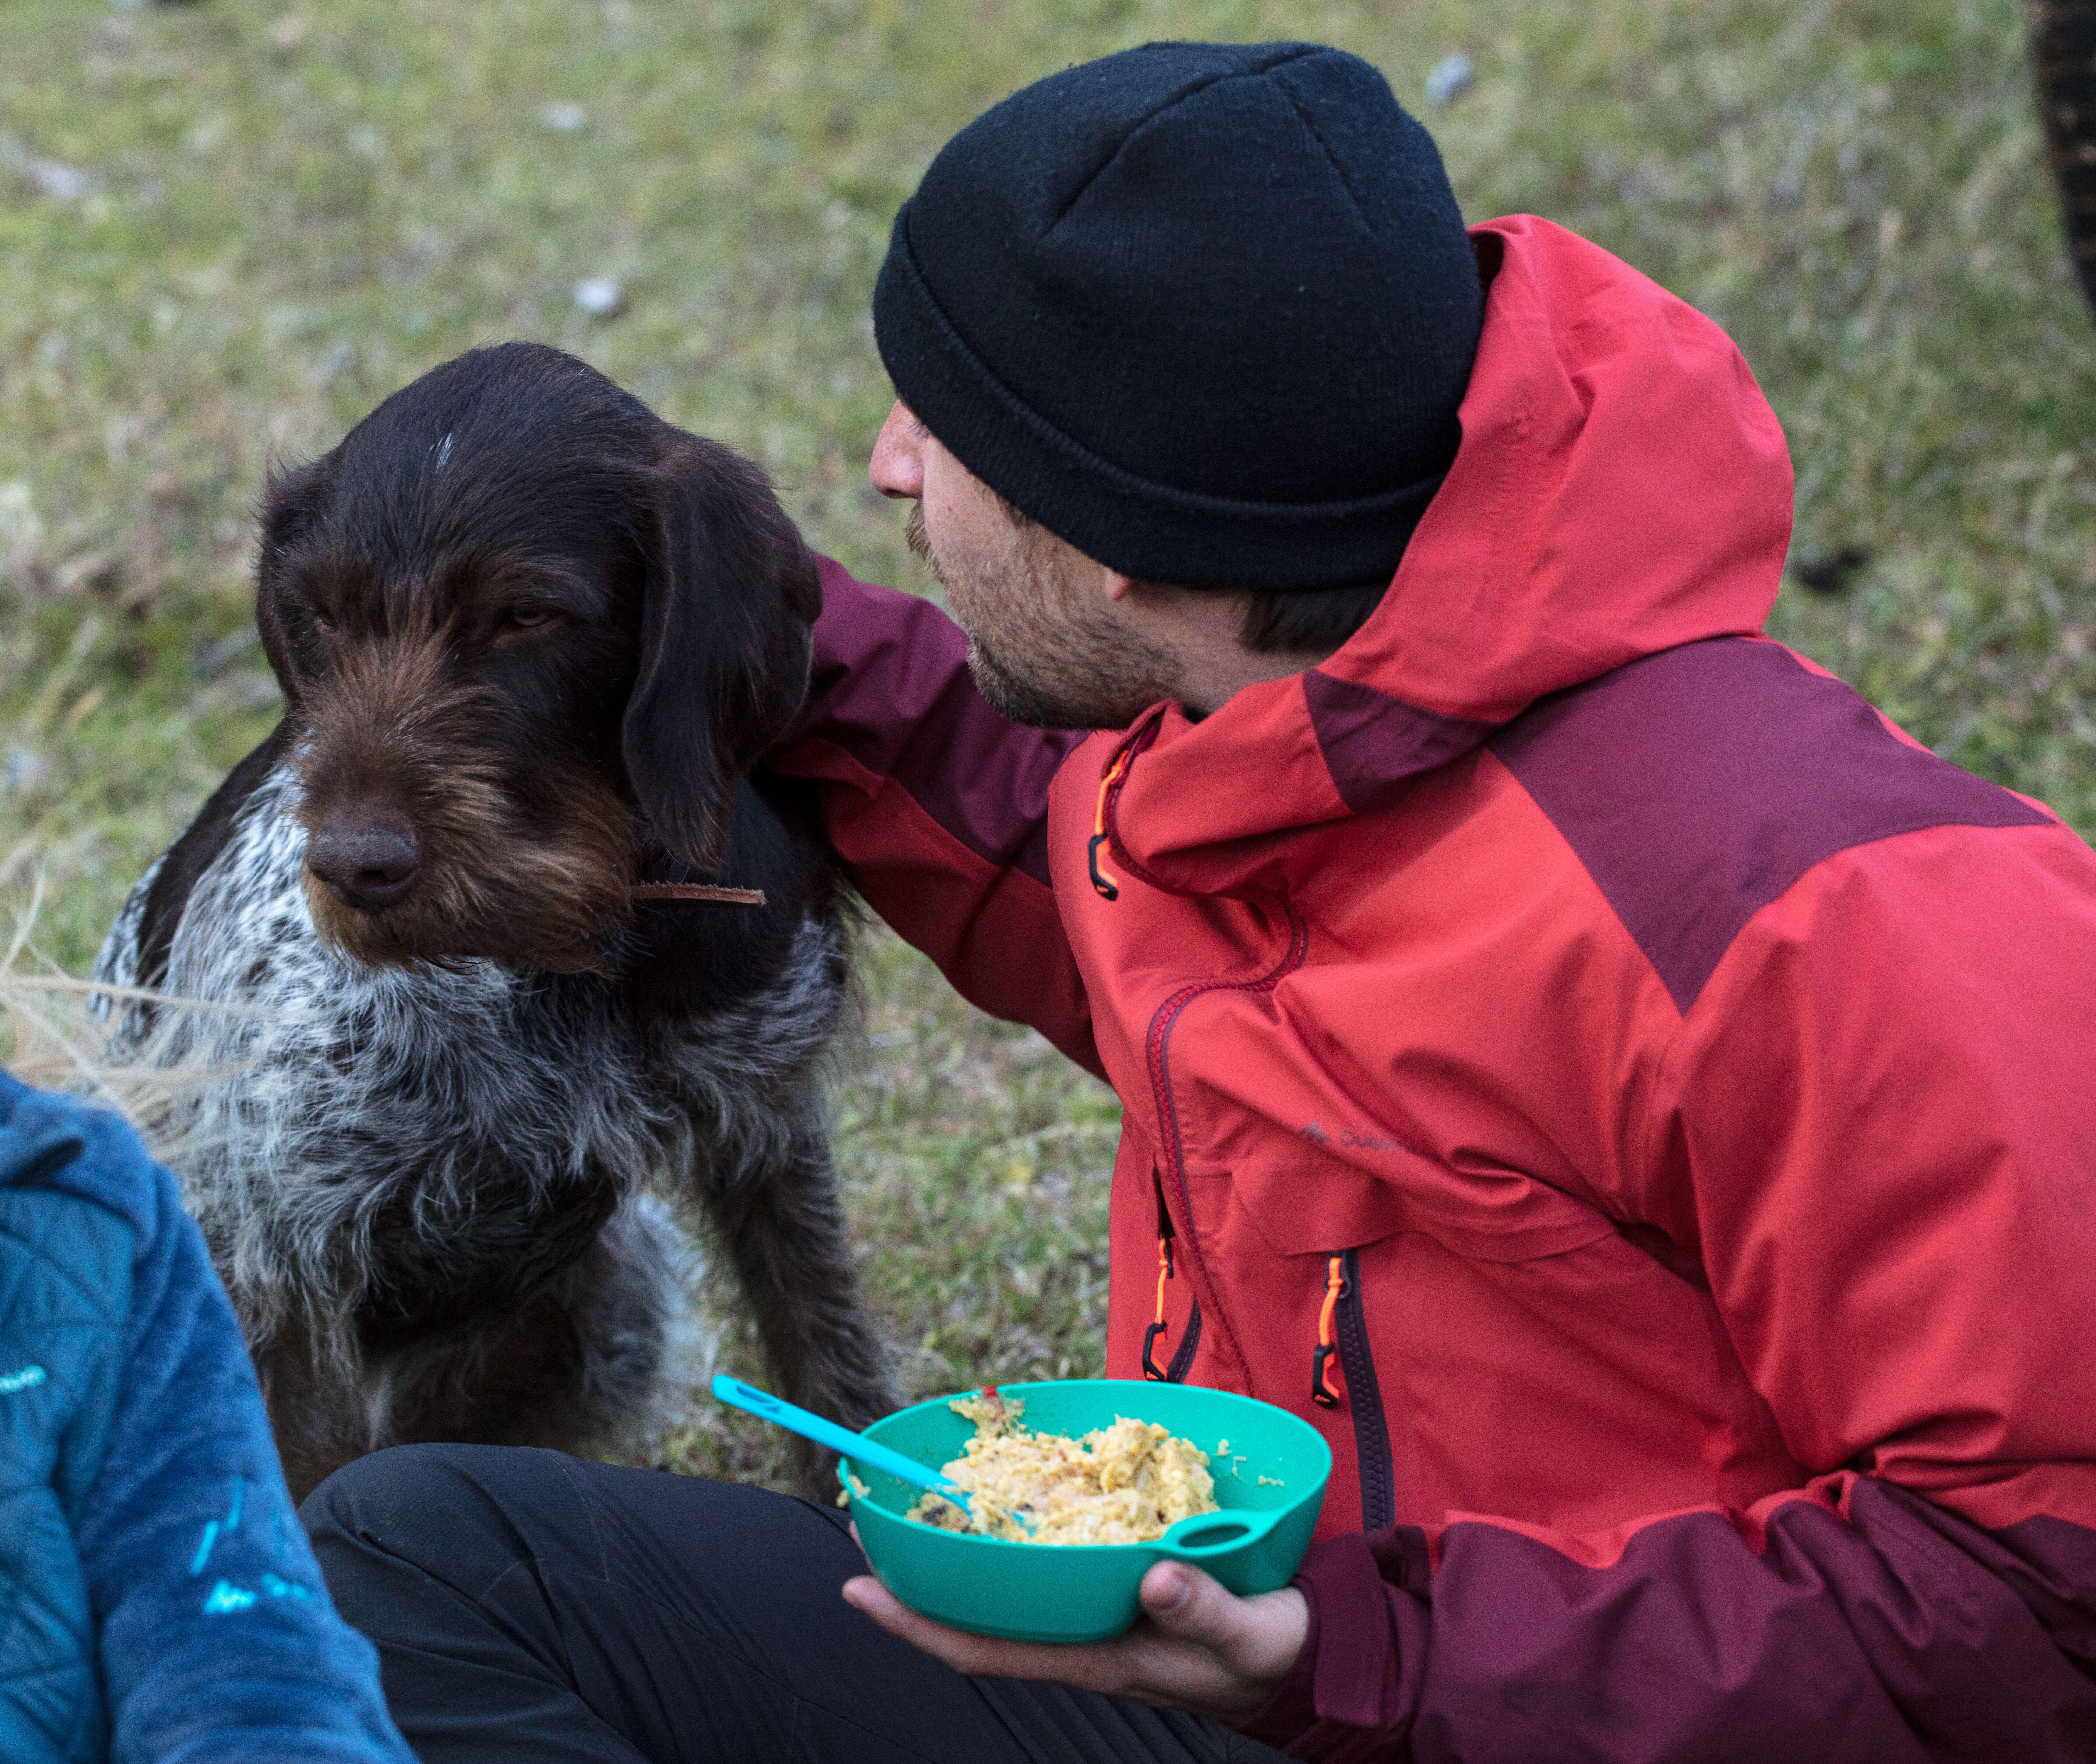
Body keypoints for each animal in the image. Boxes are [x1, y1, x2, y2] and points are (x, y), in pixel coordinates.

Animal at [94, 344, 897, 1500]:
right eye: (321, 616)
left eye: (527, 615)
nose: (352, 864)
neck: (561, 941)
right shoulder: (267, 1255)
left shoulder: (768, 1128)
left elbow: (826, 1360)